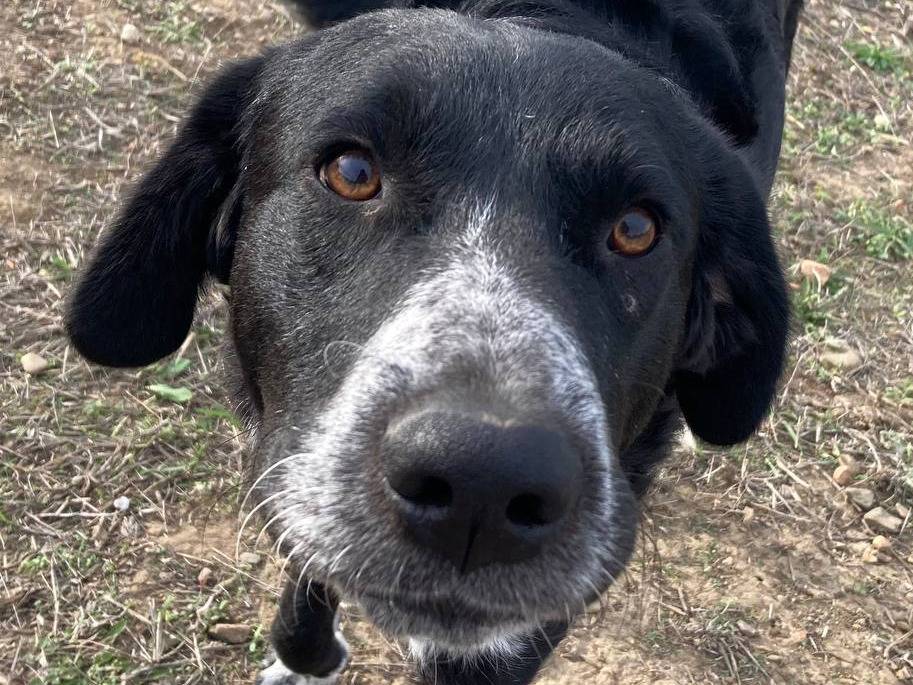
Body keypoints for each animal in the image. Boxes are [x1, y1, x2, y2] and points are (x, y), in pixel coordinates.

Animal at [67, 2, 800, 680]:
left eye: (636, 229)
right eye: (351, 171)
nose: (484, 478)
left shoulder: (519, 634)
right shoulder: (300, 456)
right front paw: (305, 656)